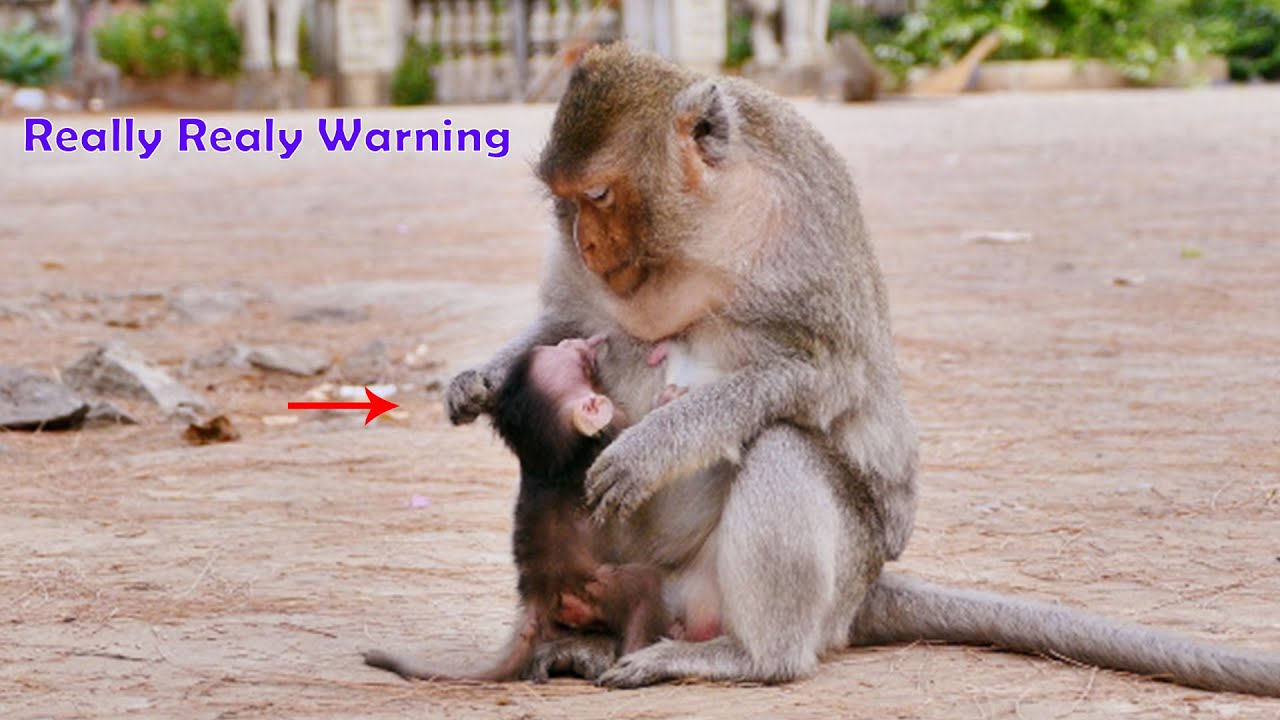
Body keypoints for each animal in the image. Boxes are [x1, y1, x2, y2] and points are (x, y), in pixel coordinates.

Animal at [364, 336, 675, 682]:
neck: (547, 458)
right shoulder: (607, 432)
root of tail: (537, 595)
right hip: (595, 591)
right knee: (644, 587)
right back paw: (635, 656)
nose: (585, 340)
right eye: (578, 358)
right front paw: (667, 401)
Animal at [419, 44, 1280, 695]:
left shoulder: (804, 227)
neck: (702, 230)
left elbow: (824, 379)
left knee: (783, 447)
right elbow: (568, 326)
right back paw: (587, 646)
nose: (588, 242)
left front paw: (657, 445)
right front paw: (483, 378)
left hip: (827, 572)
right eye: (565, 203)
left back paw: (750, 659)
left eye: (599, 194)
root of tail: (862, 595)